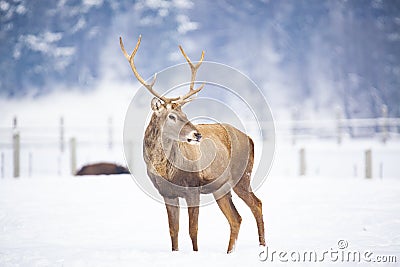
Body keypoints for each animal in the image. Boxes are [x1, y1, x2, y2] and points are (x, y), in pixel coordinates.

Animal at [120, 35, 268, 253]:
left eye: (185, 113)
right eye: (172, 116)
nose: (197, 134)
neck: (166, 170)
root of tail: (249, 138)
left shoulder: (193, 188)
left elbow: (193, 229)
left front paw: (195, 253)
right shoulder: (167, 193)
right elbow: (173, 230)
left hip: (242, 176)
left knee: (256, 204)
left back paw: (261, 246)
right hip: (220, 187)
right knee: (236, 218)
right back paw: (229, 252)